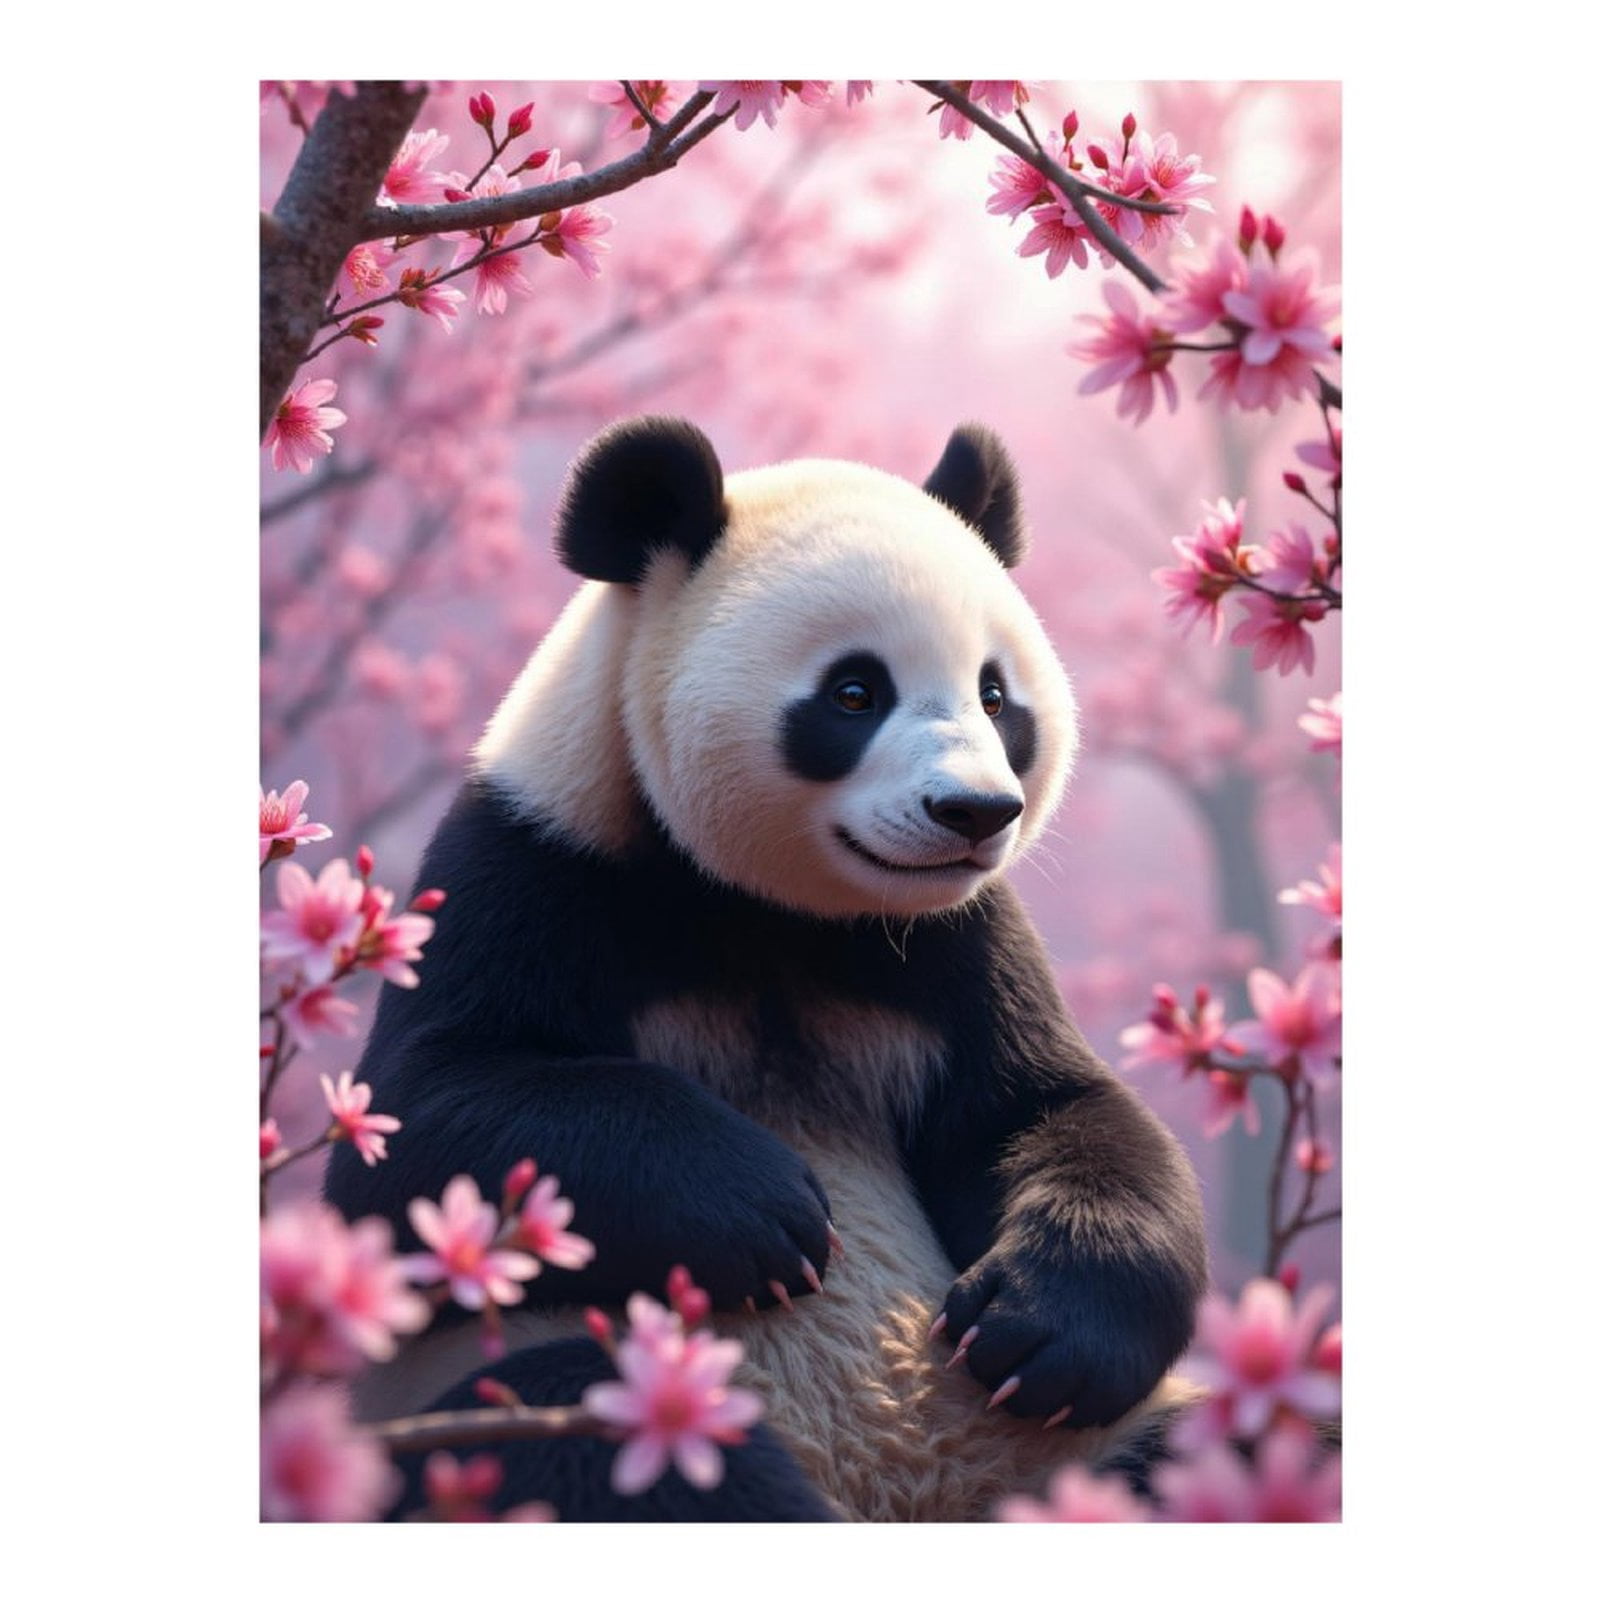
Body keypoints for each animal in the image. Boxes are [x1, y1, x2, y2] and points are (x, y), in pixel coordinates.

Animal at [326, 416, 1208, 1522]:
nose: (974, 812)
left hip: (1073, 1457)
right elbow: (420, 1122)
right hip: (568, 1400)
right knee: (610, 1446)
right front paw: (763, 1210)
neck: (777, 911)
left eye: (996, 694)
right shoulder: (535, 866)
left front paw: (1044, 1333)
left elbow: (1046, 1110)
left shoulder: (957, 944)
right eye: (854, 692)